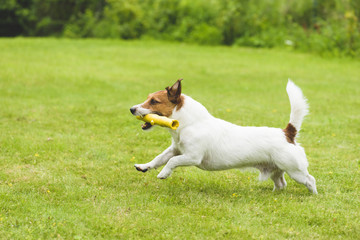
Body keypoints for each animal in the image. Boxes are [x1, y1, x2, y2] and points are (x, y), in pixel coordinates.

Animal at [130, 79, 318, 193]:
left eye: (154, 101)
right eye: (147, 98)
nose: (131, 109)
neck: (190, 123)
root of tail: (287, 133)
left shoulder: (192, 157)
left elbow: (172, 162)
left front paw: (163, 173)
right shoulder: (175, 149)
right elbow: (160, 158)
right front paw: (144, 166)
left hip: (295, 170)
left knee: (310, 179)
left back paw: (313, 194)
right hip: (276, 169)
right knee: (281, 184)